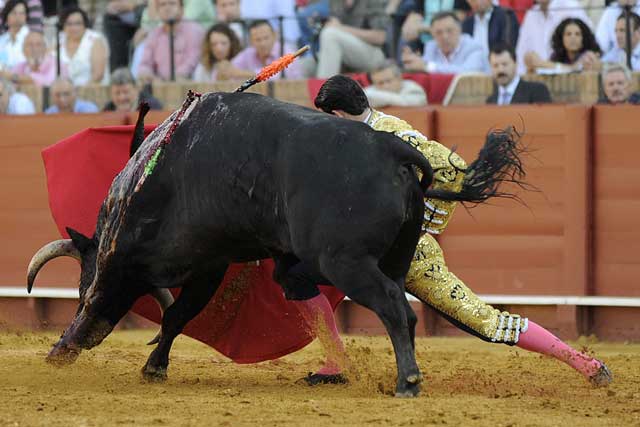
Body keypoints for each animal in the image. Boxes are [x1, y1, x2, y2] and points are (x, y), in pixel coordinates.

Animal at [27, 93, 516, 398]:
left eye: (80, 280)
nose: (63, 352)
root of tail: (393, 152)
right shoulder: (211, 263)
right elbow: (177, 315)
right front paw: (154, 366)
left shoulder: (124, 258)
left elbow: (114, 302)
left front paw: (63, 349)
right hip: (394, 258)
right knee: (397, 308)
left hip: (346, 262)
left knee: (394, 306)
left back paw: (407, 382)